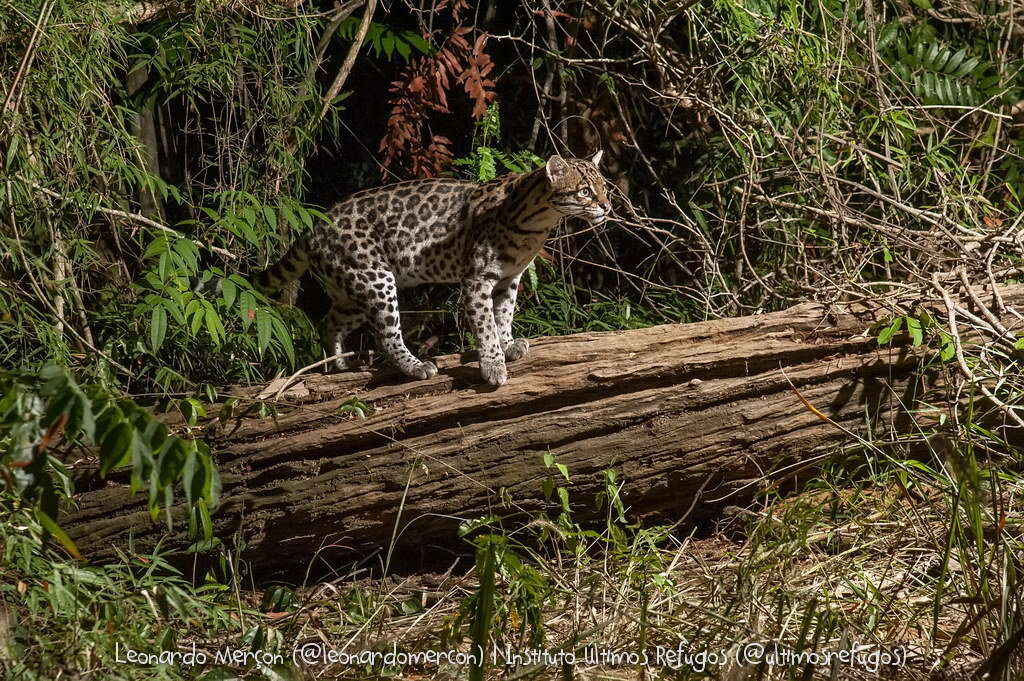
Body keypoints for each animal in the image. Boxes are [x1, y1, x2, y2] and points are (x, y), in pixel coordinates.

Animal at [260, 155, 610, 387]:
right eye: (584, 191)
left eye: (604, 187)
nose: (607, 207)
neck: (537, 224)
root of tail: (314, 226)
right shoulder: (476, 279)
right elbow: (485, 324)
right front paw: (493, 364)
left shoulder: (509, 279)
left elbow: (504, 315)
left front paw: (508, 344)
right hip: (376, 279)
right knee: (386, 336)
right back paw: (415, 367)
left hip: (350, 290)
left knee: (328, 322)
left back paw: (339, 366)